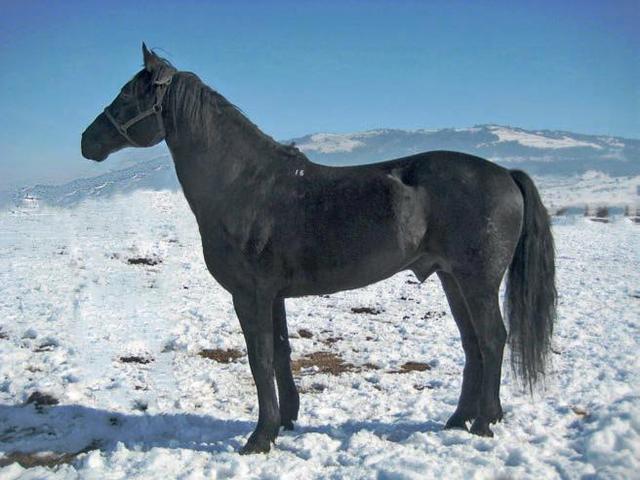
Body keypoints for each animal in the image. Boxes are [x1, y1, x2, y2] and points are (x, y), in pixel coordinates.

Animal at [81, 44, 556, 454]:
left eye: (127, 95)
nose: (87, 141)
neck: (245, 187)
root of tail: (505, 175)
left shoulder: (249, 295)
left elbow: (259, 360)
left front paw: (260, 438)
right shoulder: (272, 295)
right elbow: (280, 354)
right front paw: (286, 421)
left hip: (477, 281)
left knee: (493, 339)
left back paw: (484, 422)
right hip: (451, 278)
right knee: (473, 345)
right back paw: (458, 420)